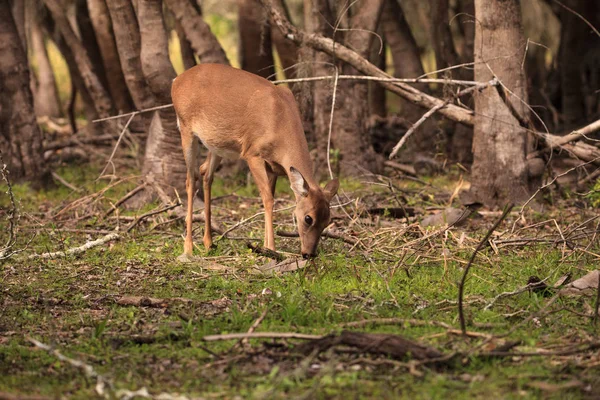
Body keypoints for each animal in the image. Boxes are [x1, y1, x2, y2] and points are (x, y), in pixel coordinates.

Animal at [171, 64, 340, 260]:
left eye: (328, 220)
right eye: (308, 218)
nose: (309, 254)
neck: (280, 122)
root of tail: (176, 80)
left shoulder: (274, 167)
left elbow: (269, 197)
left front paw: (265, 247)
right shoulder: (253, 154)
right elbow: (268, 199)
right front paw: (271, 249)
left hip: (216, 144)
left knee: (205, 173)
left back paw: (208, 243)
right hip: (186, 129)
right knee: (190, 179)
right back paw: (188, 248)